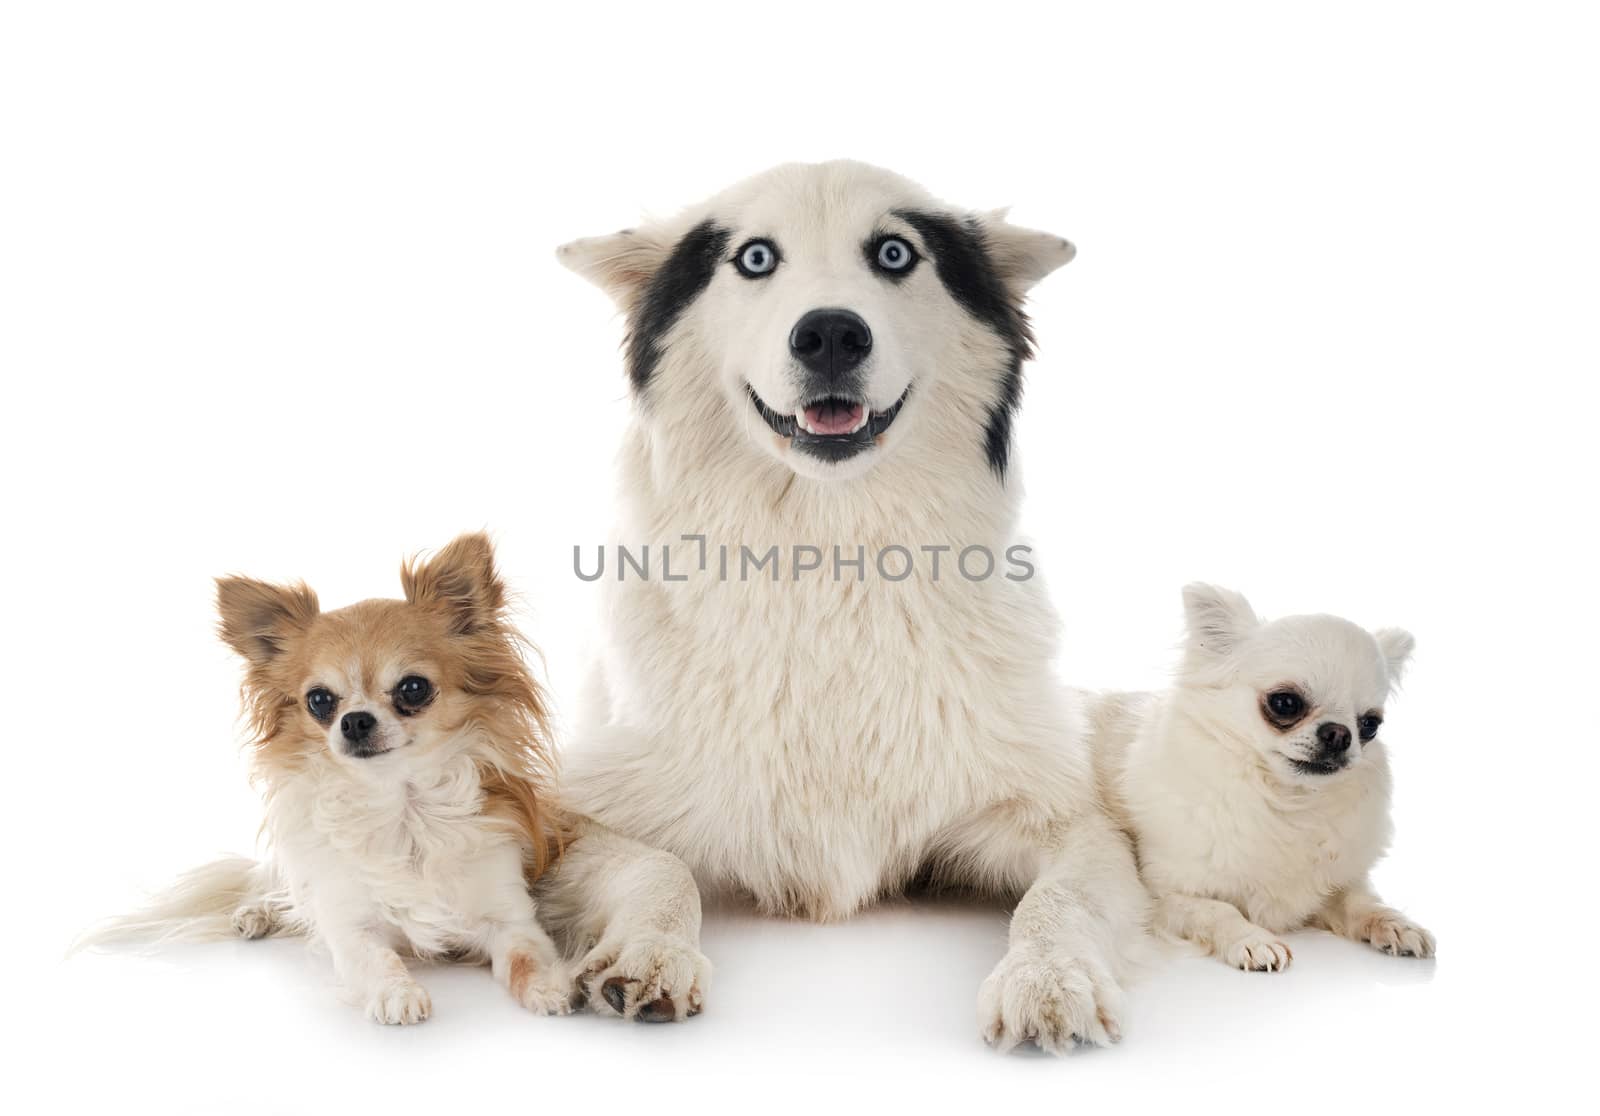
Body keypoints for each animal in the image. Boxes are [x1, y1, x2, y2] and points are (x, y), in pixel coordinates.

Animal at [544, 160, 1145, 1048]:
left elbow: (1056, 898)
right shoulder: (562, 804)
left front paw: (1047, 977)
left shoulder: (1069, 819)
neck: (830, 557)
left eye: (895, 253)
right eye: (755, 258)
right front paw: (654, 953)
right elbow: (661, 866)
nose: (830, 334)